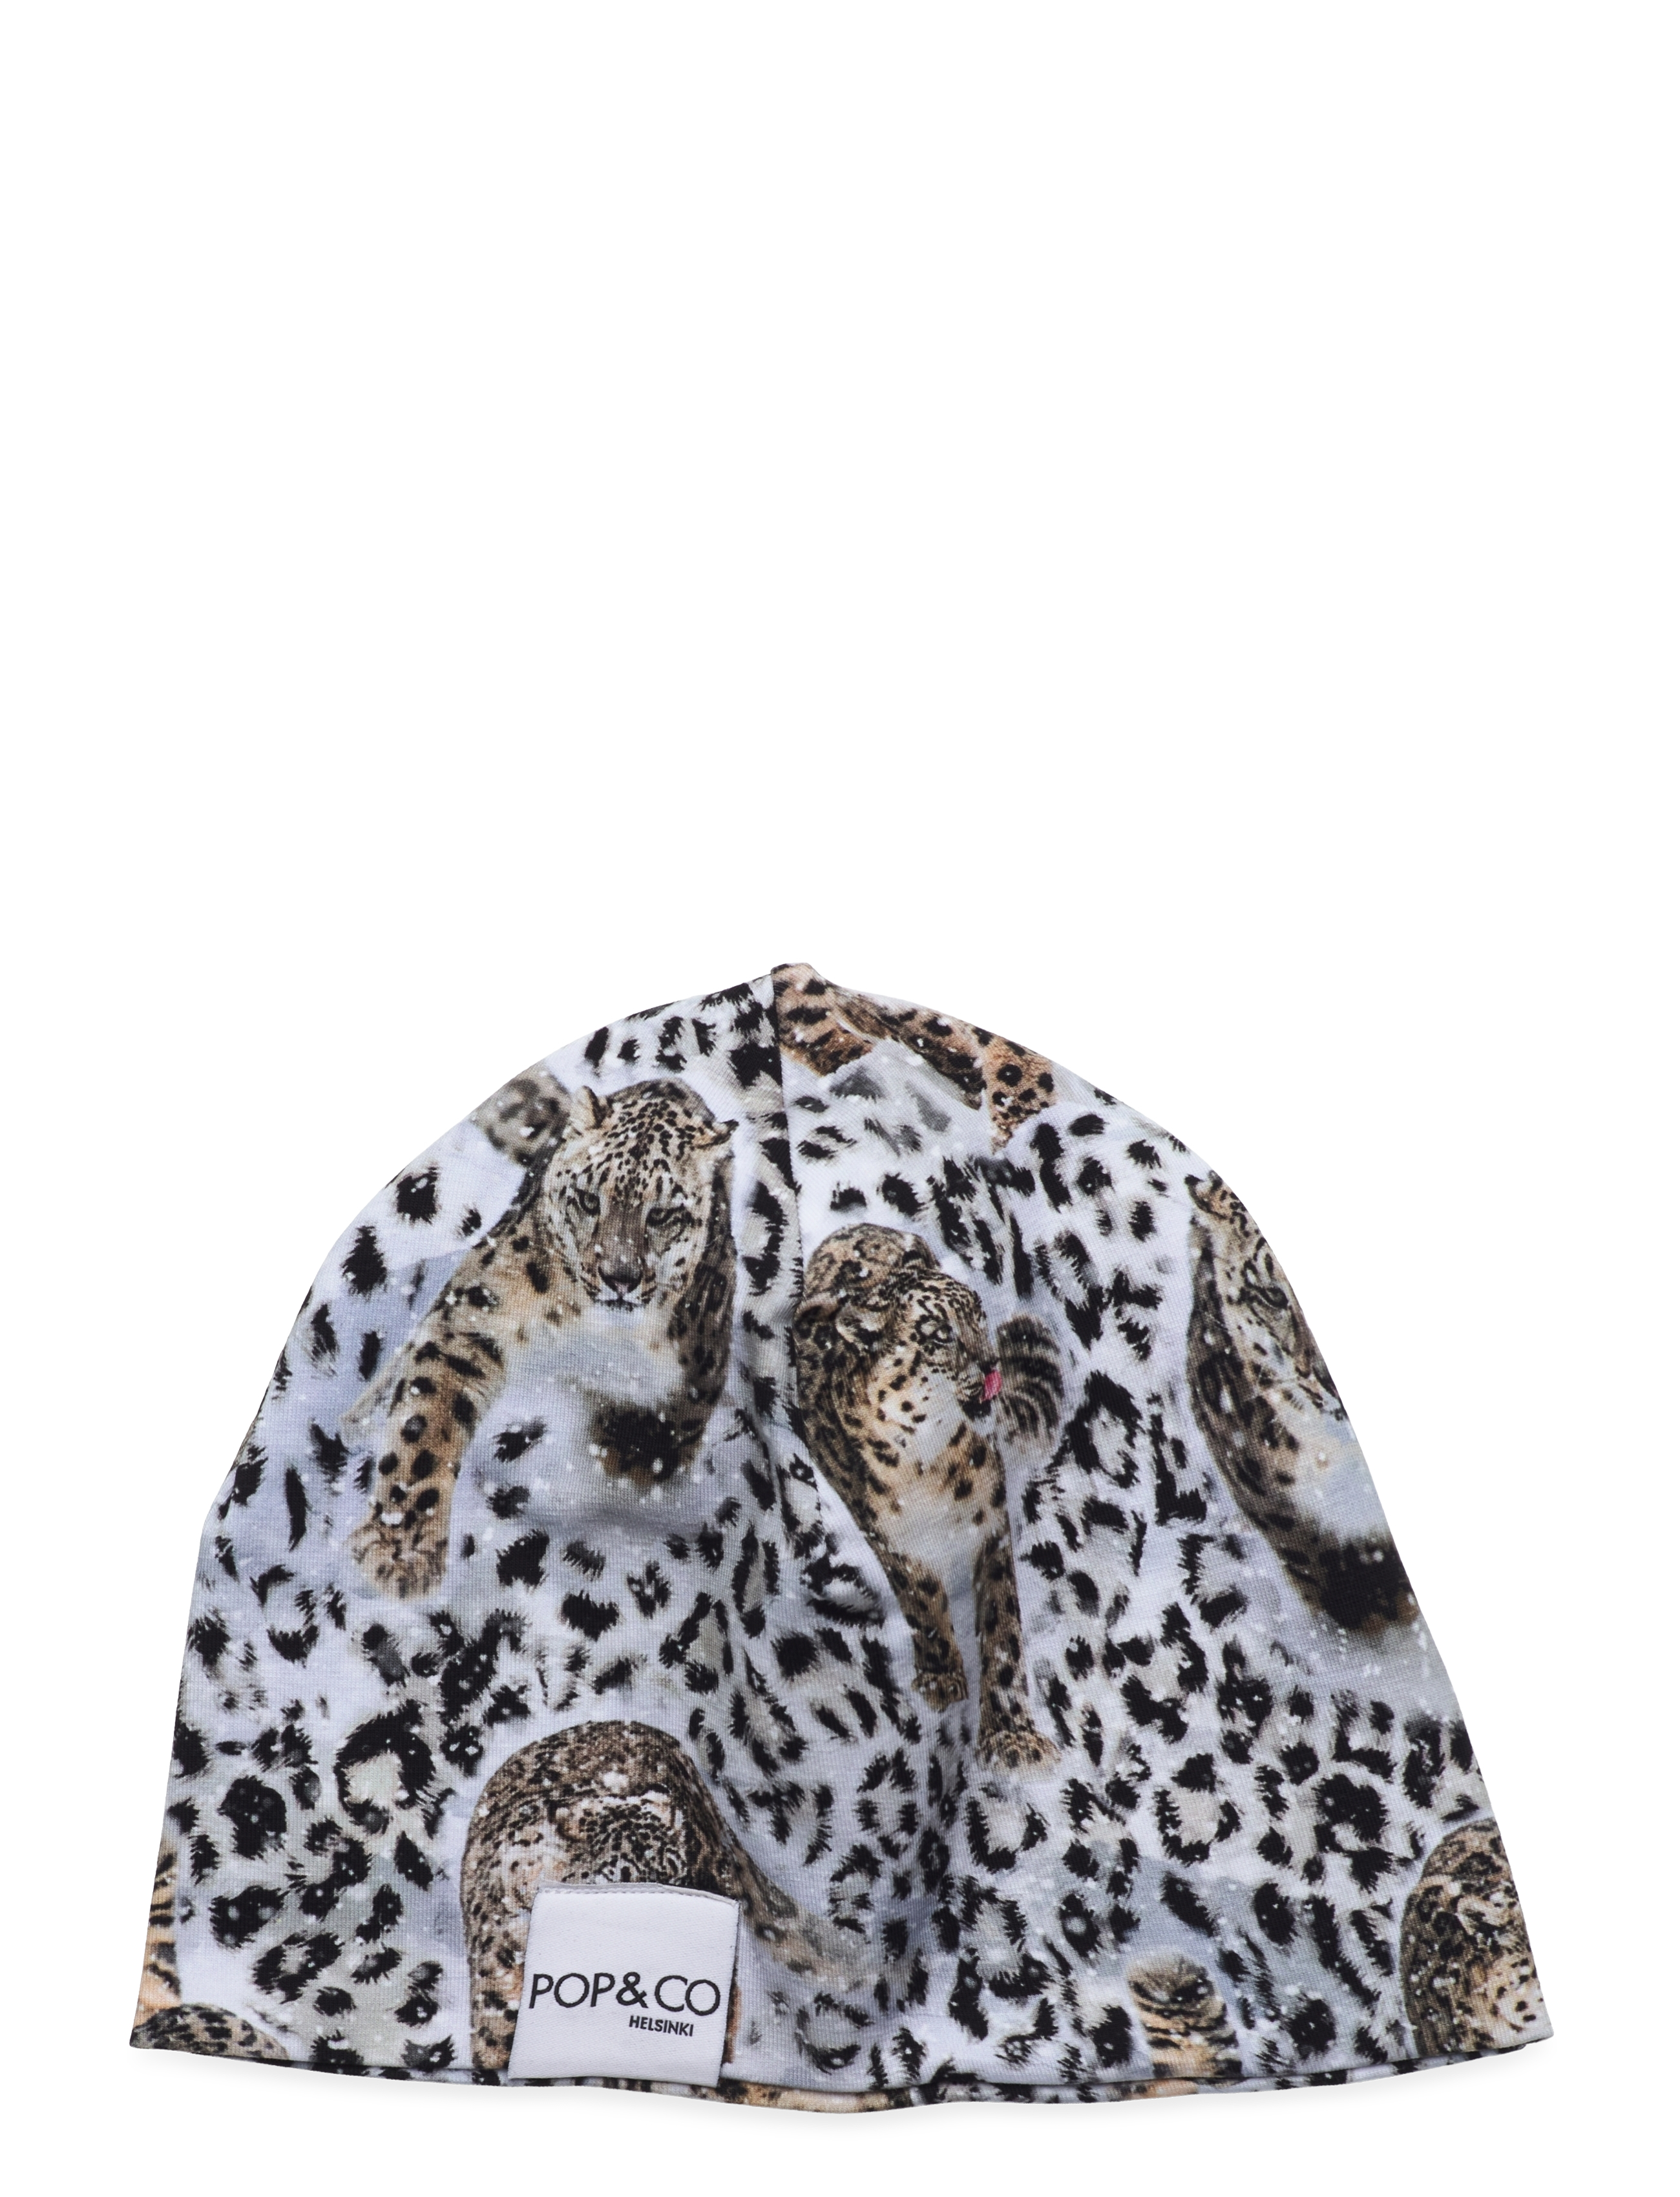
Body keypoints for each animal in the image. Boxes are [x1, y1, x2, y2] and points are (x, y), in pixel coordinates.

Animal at [343, 1072, 737, 1600]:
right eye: (590, 1199)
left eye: (662, 1215)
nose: (620, 1276)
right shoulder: (479, 1319)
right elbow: (425, 1427)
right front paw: (400, 1552)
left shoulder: (694, 1377)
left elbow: (652, 1449)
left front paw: (623, 1474)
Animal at [791, 1222, 1063, 1773]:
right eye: (938, 1333)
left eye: (978, 1315)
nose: (990, 1363)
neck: (929, 1463)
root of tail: (853, 1227)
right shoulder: (892, 1537)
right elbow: (921, 1604)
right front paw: (943, 1679)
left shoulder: (991, 1523)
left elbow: (1002, 1630)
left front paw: (1012, 1738)